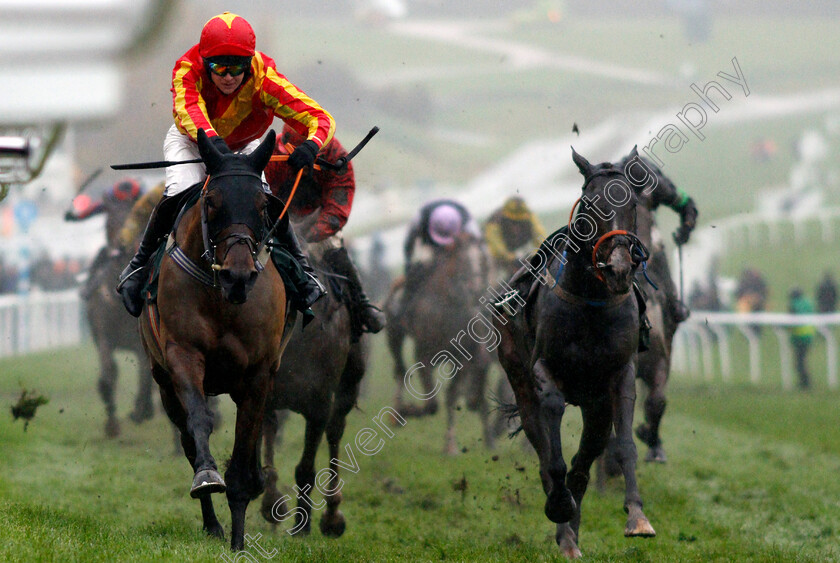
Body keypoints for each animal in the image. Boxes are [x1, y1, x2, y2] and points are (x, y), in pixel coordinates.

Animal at [139, 129, 290, 552]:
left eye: (263, 205)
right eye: (211, 201)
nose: (237, 276)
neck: (222, 298)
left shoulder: (258, 375)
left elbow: (243, 449)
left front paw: (239, 541)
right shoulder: (182, 356)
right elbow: (199, 423)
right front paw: (208, 477)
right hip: (163, 382)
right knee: (188, 437)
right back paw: (211, 523)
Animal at [260, 239, 370, 536]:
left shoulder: (319, 405)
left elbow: (306, 468)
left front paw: (303, 524)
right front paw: (272, 504)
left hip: (347, 389)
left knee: (335, 432)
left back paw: (332, 515)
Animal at [386, 231, 496, 456]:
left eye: (481, 261)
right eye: (463, 260)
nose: (475, 289)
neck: (446, 307)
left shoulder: (462, 360)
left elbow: (451, 396)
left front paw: (451, 445)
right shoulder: (423, 355)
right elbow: (431, 404)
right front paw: (408, 410)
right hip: (394, 334)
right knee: (400, 370)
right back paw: (397, 412)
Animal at [498, 148, 656, 556]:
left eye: (631, 203)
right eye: (590, 202)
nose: (618, 268)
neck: (591, 301)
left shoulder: (619, 376)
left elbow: (624, 446)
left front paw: (638, 517)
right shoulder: (544, 370)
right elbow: (552, 447)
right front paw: (559, 506)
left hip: (595, 406)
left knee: (583, 464)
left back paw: (572, 533)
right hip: (518, 380)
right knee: (543, 450)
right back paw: (563, 523)